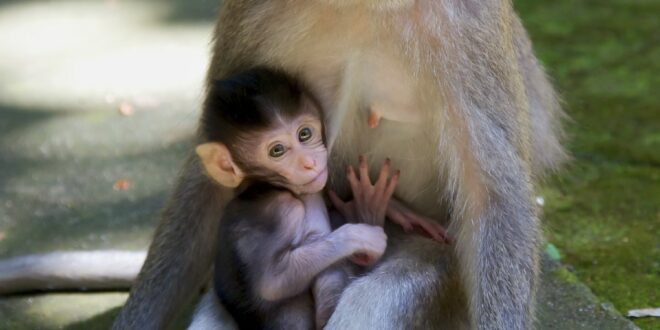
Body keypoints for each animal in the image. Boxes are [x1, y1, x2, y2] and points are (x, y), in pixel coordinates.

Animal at [193, 68, 446, 328]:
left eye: (304, 134)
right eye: (277, 150)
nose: (309, 163)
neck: (264, 186)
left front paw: (390, 208)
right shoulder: (281, 210)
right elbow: (273, 284)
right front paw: (364, 221)